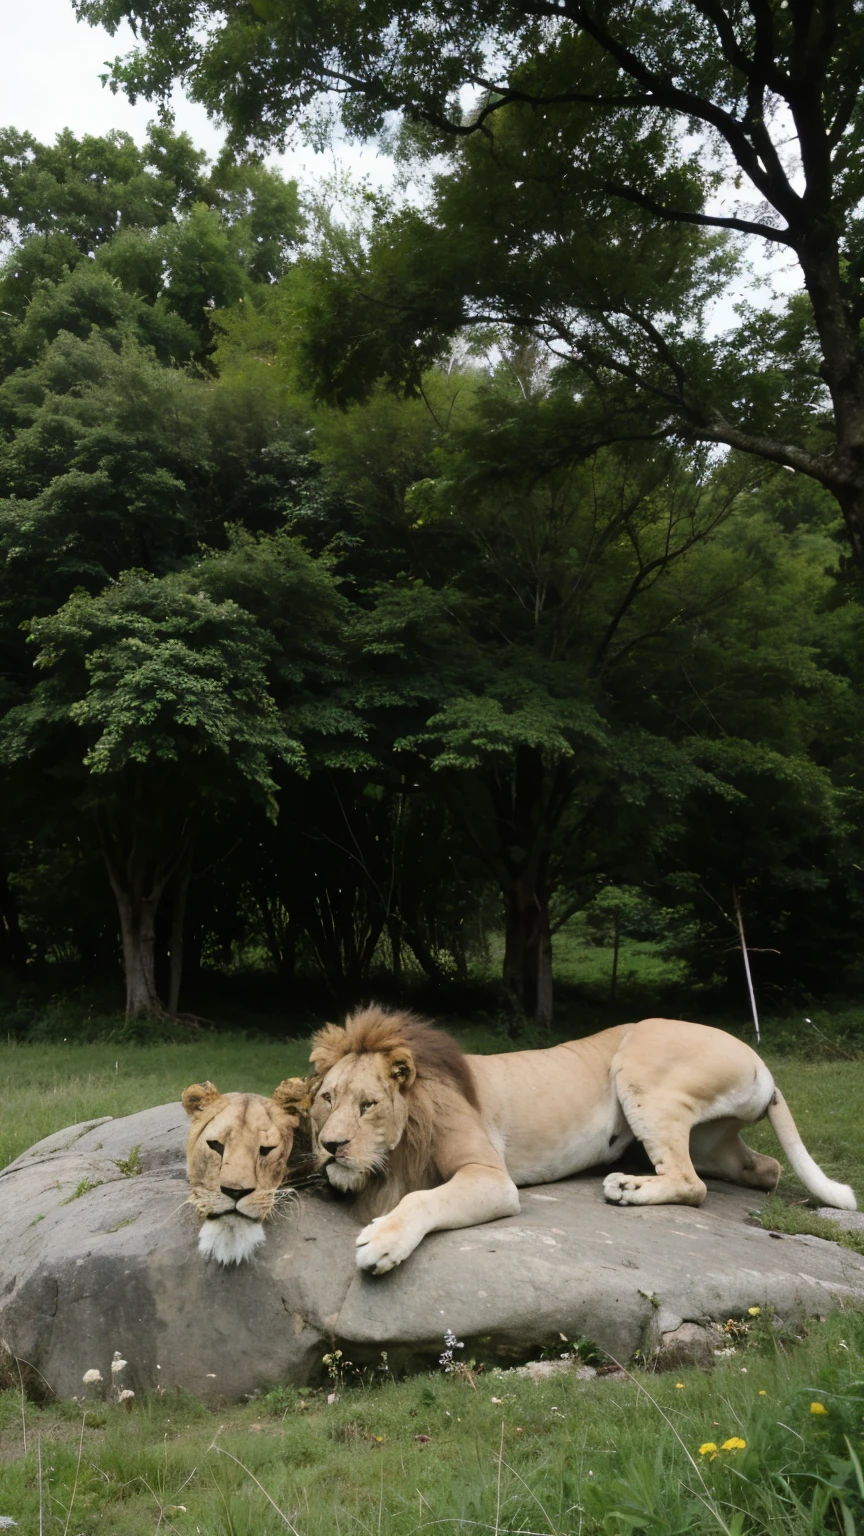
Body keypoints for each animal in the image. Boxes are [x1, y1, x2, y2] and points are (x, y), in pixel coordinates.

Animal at [309, 1001, 854, 1277]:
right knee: (764, 1169)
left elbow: (421, 1198)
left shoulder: (492, 1178)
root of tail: (760, 1061)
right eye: (327, 1099)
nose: (331, 1147)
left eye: (368, 1104)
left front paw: (382, 1241)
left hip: (640, 1064)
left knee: (691, 1183)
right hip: (712, 1141)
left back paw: (626, 1186)